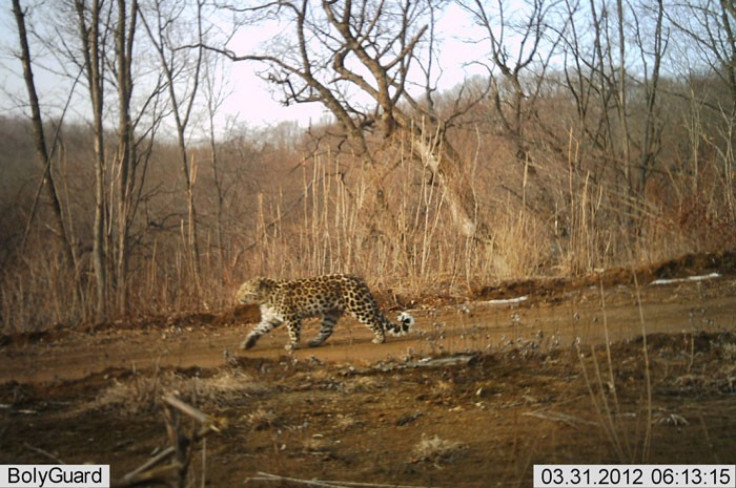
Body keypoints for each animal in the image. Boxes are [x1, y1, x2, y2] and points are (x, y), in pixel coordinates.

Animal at [239, 274, 416, 350]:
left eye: (246, 291)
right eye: (241, 290)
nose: (238, 298)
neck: (264, 298)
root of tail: (359, 280)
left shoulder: (291, 316)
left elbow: (293, 332)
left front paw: (292, 345)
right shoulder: (270, 319)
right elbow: (257, 330)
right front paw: (246, 343)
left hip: (358, 305)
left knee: (375, 321)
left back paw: (379, 339)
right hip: (331, 312)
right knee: (327, 330)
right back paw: (314, 342)